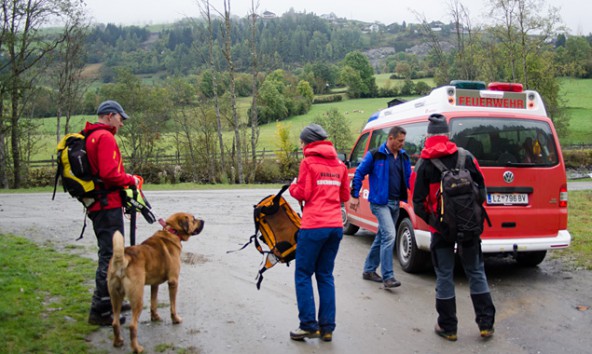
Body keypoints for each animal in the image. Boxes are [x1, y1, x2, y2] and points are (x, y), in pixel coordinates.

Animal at [107, 212, 205, 352]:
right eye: (193, 219)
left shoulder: (155, 284)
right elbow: (173, 305)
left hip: (115, 296)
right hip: (137, 297)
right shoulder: (173, 281)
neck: (172, 231)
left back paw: (118, 342)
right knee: (132, 326)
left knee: (115, 322)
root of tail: (123, 259)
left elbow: (154, 302)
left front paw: (154, 317)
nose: (203, 221)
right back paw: (137, 348)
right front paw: (175, 319)